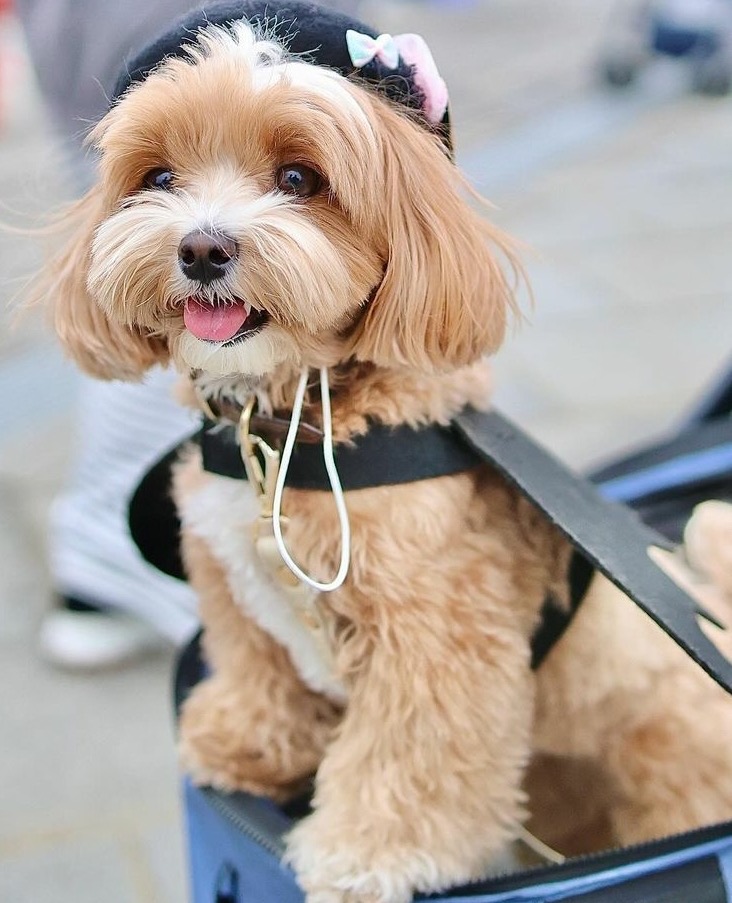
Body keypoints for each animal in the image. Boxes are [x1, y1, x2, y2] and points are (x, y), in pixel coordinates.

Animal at [37, 1, 732, 903]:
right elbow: (258, 666)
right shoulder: (230, 591)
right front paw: (248, 742)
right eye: (158, 177)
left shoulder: (436, 631)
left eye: (299, 179)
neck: (286, 429)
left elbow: (410, 753)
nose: (201, 249)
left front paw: (367, 851)